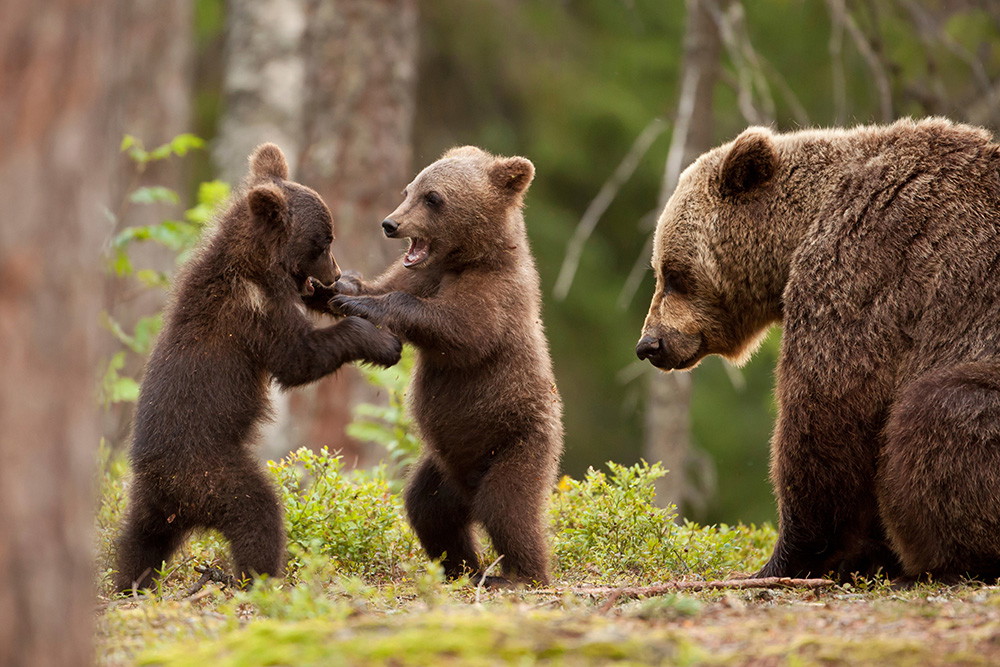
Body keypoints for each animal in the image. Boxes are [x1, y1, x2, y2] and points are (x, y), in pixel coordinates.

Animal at [113, 143, 402, 593]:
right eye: (324, 241)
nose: (335, 271)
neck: (258, 265)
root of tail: (168, 488)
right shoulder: (254, 312)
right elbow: (298, 358)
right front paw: (382, 342)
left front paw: (348, 294)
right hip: (211, 473)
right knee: (257, 512)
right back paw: (259, 577)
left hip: (152, 503)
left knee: (139, 540)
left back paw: (130, 582)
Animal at [328, 146, 564, 586]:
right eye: (409, 189)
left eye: (433, 198)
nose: (390, 223)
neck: (467, 259)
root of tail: (467, 488)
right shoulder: (422, 273)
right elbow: (388, 285)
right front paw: (342, 286)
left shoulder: (497, 295)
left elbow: (461, 331)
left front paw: (363, 303)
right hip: (442, 467)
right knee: (428, 509)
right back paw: (463, 568)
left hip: (517, 442)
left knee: (508, 508)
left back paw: (522, 574)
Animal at [636, 117, 1000, 584]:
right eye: (660, 269)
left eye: (673, 273)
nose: (649, 344)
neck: (801, 230)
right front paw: (863, 555)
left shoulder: (866, 267)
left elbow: (826, 413)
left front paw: (784, 559)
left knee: (939, 409)